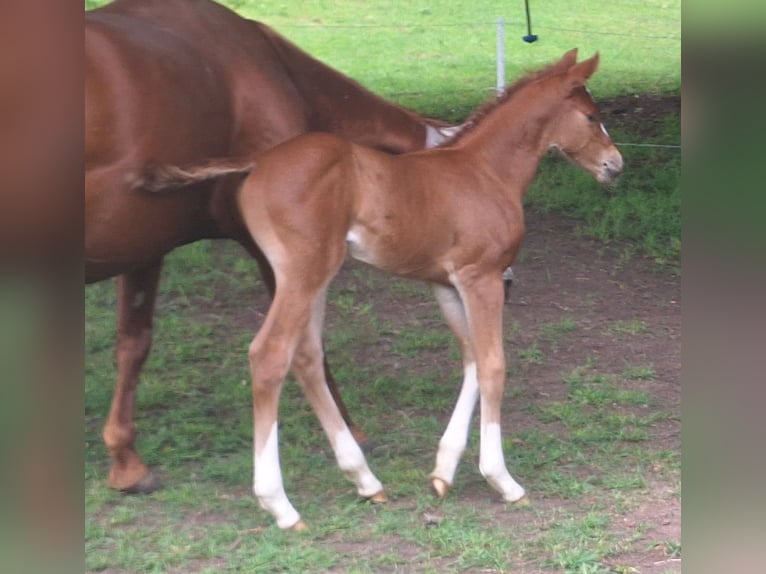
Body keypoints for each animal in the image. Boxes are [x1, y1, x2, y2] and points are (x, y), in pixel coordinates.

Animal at [85, 0, 460, 495]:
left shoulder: (144, 248)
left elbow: (133, 342)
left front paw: (126, 459)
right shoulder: (284, 252)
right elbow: (305, 342)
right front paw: (347, 428)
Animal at [142, 49, 623, 529]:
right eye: (591, 115)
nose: (615, 165)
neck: (485, 171)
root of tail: (258, 162)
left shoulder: (445, 284)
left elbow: (470, 360)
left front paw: (443, 471)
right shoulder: (481, 277)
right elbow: (493, 365)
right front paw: (502, 480)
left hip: (311, 276)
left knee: (307, 356)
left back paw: (365, 480)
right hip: (303, 272)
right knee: (270, 355)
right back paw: (280, 505)